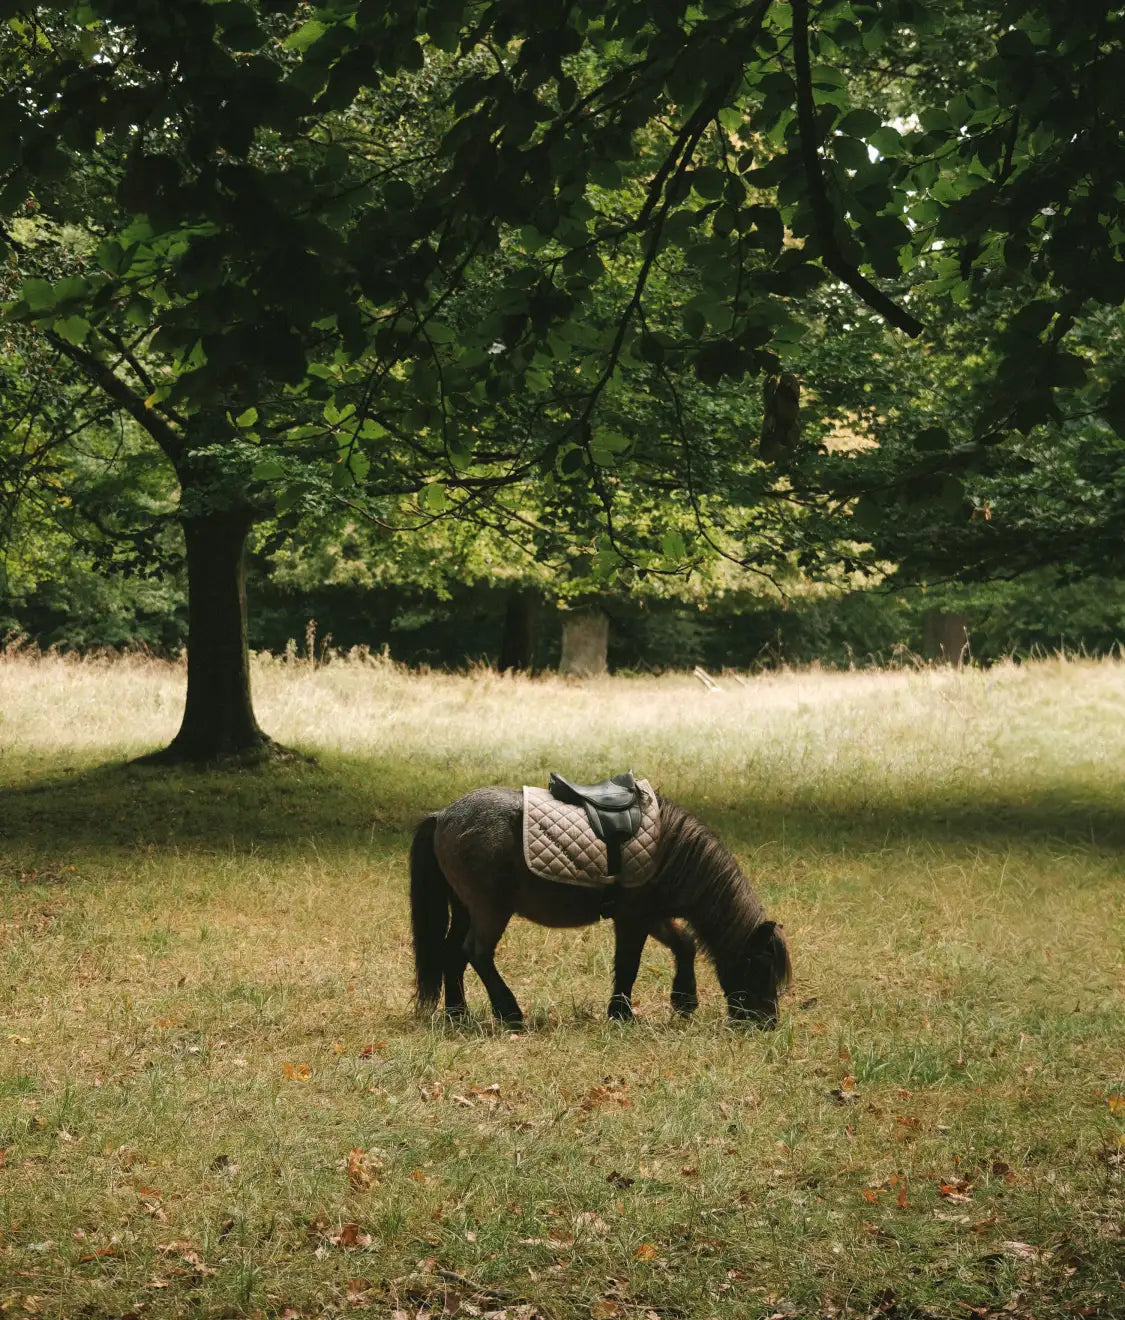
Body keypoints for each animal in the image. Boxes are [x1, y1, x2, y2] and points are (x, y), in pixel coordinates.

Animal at [408, 786, 792, 1028]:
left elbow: (685, 944)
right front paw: (622, 1014)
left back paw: (458, 1014)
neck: (672, 849)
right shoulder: (633, 919)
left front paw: (684, 1001)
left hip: (464, 908)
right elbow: (628, 965)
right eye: (761, 966)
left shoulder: (652, 916)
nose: (767, 1023)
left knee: (452, 954)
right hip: (489, 910)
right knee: (477, 953)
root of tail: (443, 815)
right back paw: (509, 1013)